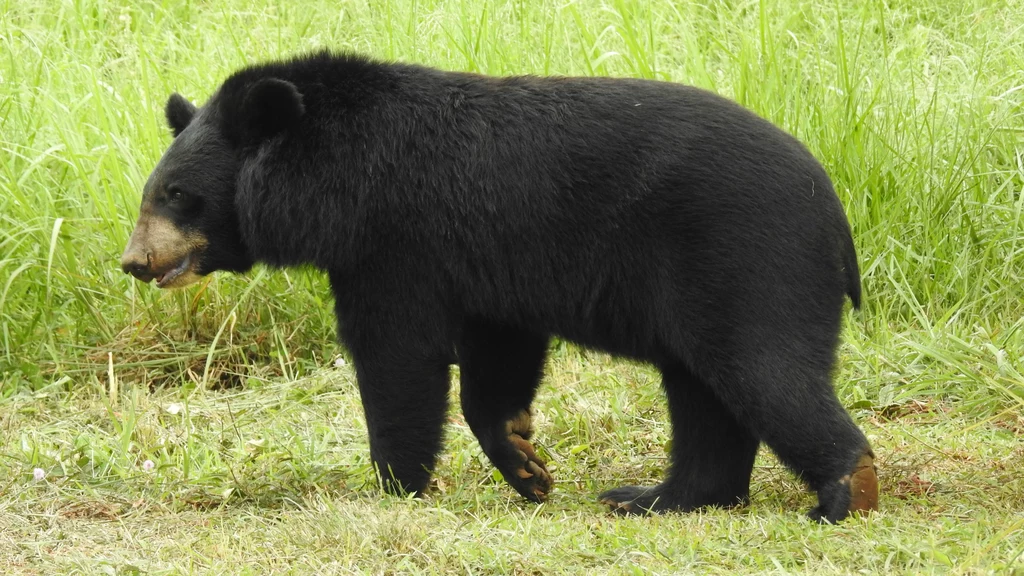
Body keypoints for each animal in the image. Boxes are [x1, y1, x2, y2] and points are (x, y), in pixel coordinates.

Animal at [117, 51, 872, 522]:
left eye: (177, 194)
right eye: (154, 192)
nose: (134, 262)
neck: (331, 177)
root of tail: (835, 213)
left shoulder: (393, 241)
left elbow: (397, 358)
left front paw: (396, 483)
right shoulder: (485, 266)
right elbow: (497, 359)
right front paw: (528, 465)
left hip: (744, 262)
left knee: (762, 371)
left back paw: (844, 490)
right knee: (705, 397)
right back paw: (653, 496)